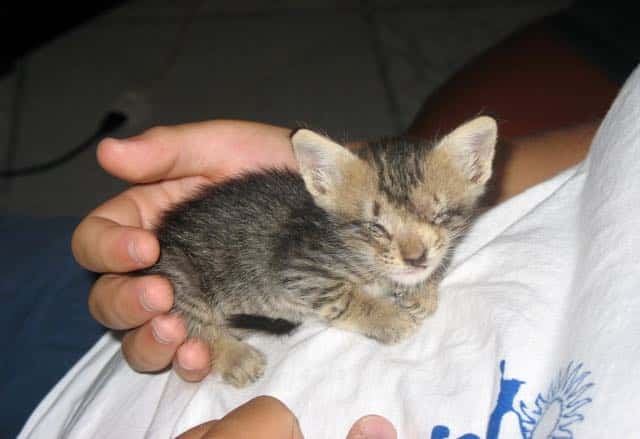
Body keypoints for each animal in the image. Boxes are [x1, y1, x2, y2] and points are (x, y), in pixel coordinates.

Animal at [142, 116, 498, 388]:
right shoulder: (297, 266)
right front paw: (389, 317)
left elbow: (439, 257)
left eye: (439, 216)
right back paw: (235, 357)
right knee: (193, 323)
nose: (416, 258)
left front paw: (420, 289)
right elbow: (344, 296)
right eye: (376, 227)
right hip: (178, 276)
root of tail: (163, 237)